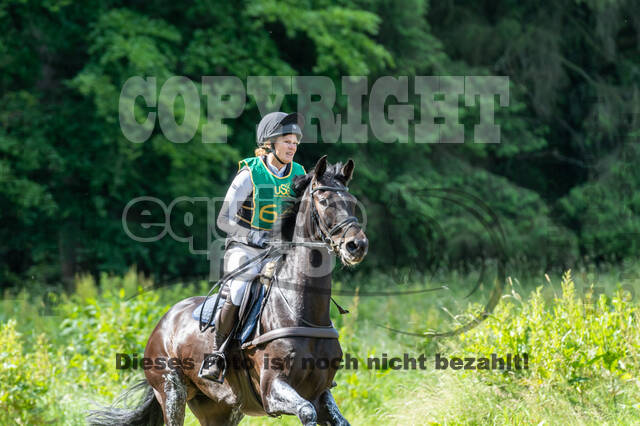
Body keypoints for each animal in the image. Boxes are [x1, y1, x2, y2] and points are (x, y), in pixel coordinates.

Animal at [88, 156, 368, 425]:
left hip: (220, 408)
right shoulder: (273, 389)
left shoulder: (320, 393)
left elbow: (337, 419)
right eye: (324, 201)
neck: (301, 310)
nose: (357, 245)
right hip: (171, 393)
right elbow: (306, 411)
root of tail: (163, 322)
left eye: (353, 202)